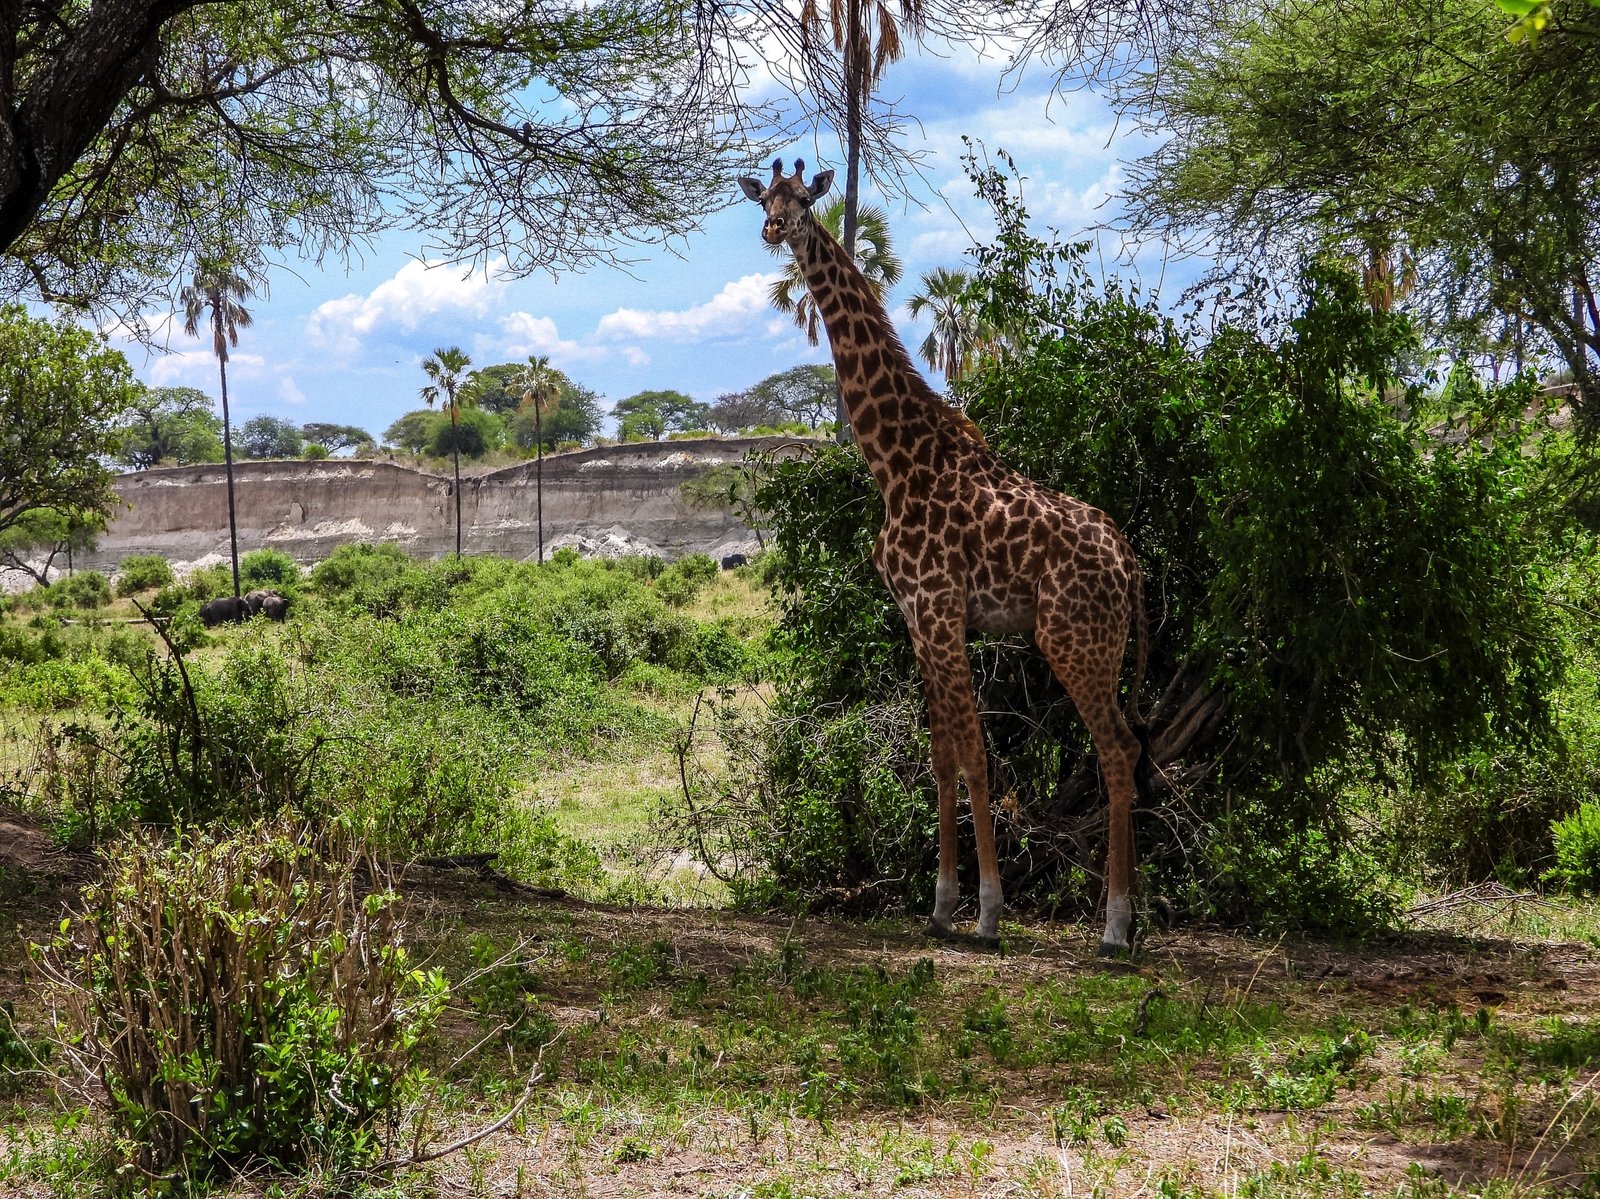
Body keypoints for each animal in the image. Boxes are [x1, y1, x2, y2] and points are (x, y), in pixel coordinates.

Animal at [739, 156, 1152, 954]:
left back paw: (1117, 927)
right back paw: (1125, 917)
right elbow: (941, 756)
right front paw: (939, 905)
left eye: (804, 198)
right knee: (1126, 750)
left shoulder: (937, 608)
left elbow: (976, 754)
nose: (773, 229)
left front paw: (987, 912)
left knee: (1119, 751)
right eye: (765, 198)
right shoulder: (918, 618)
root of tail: (1129, 563)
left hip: (1073, 638)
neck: (896, 461)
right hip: (1099, 641)